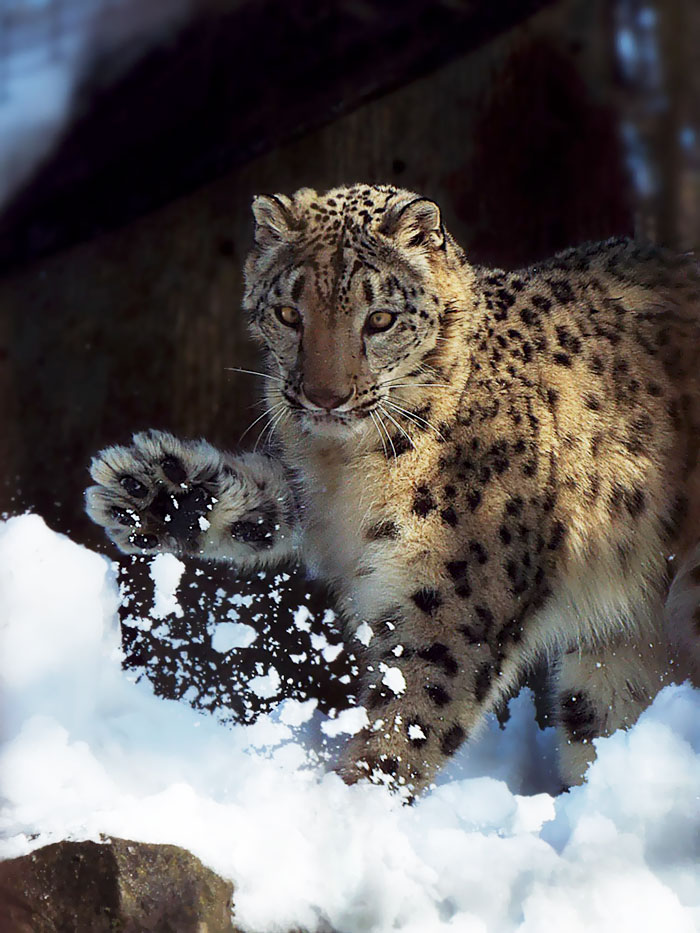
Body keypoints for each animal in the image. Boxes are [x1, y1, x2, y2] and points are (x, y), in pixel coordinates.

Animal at [86, 183, 700, 797]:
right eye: (288, 313)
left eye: (379, 318)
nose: (324, 397)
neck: (347, 464)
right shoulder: (320, 498)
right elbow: (272, 499)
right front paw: (150, 492)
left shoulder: (455, 589)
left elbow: (413, 709)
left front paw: (352, 799)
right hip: (609, 669)